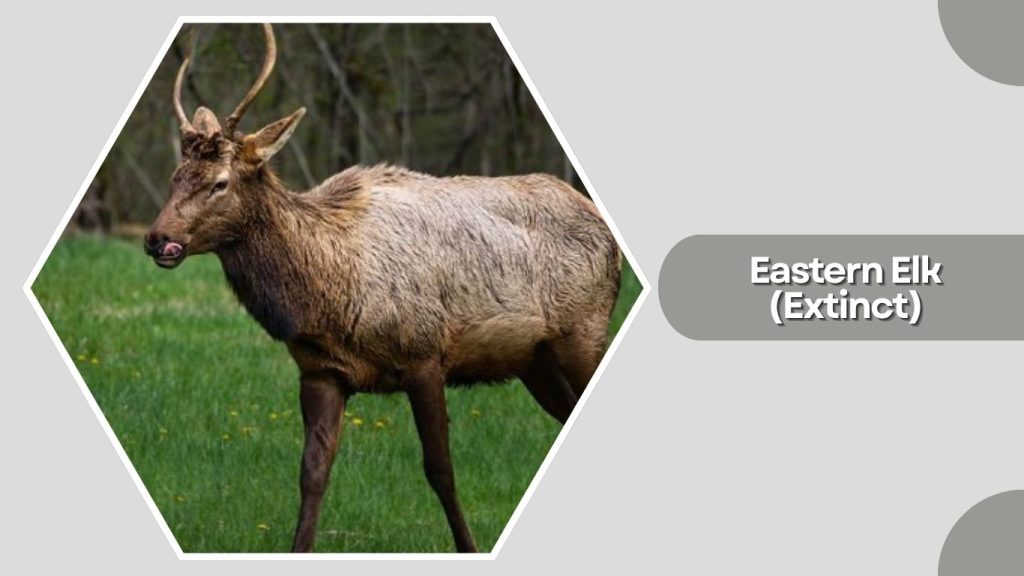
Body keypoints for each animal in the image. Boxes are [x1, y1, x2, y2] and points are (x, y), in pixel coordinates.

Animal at [144, 23, 621, 553]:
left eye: (220, 182)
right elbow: (312, 474)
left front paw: (469, 546)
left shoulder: (424, 354)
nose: (157, 239)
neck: (326, 296)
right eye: (174, 177)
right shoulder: (321, 372)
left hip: (582, 332)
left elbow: (440, 470)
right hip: (534, 360)